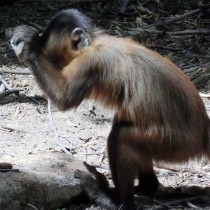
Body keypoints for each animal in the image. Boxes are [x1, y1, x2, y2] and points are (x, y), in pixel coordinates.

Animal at [10, 8, 210, 210]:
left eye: (54, 59)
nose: (57, 65)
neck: (93, 43)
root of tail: (203, 131)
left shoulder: (90, 60)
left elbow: (65, 98)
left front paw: (30, 45)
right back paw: (147, 187)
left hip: (175, 145)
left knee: (121, 135)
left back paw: (118, 202)